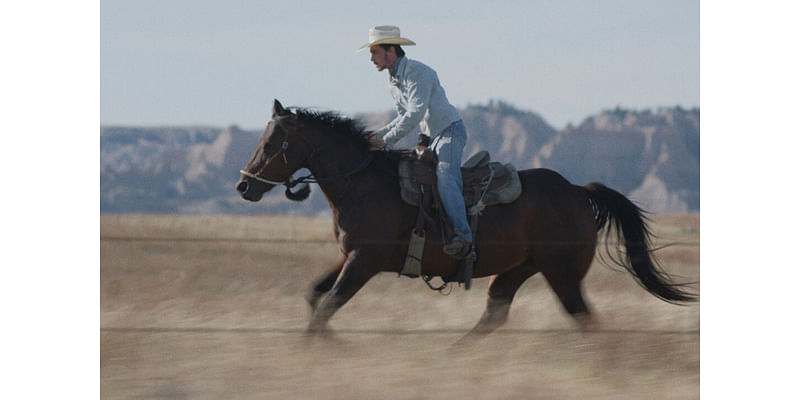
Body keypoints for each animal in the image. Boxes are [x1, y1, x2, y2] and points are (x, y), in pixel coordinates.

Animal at [236, 99, 692, 334]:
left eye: (273, 142)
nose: (243, 186)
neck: (362, 182)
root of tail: (578, 191)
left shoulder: (364, 261)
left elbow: (327, 306)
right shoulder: (350, 257)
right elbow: (316, 297)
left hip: (562, 273)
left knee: (584, 319)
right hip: (521, 268)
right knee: (496, 313)